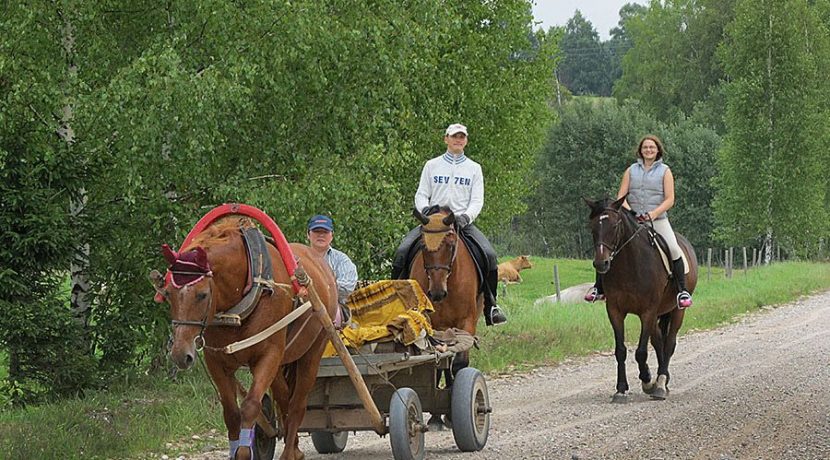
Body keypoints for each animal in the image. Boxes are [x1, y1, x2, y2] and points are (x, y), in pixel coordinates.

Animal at [153, 217, 338, 460]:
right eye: (168, 294)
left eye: (202, 294)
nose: (180, 355)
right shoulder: (217, 361)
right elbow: (232, 413)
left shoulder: (268, 355)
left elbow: (250, 406)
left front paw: (243, 451)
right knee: (284, 398)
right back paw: (295, 446)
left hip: (313, 352)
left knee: (297, 403)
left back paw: (290, 451)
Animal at [408, 208, 480, 378]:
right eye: (423, 245)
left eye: (451, 245)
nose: (437, 293)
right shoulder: (434, 325)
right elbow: (439, 364)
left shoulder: (467, 322)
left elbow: (459, 363)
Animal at [588, 196, 700, 400]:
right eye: (592, 227)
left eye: (614, 226)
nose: (601, 263)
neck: (630, 265)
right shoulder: (614, 311)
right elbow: (621, 350)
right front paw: (621, 389)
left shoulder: (647, 311)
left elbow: (640, 352)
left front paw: (648, 381)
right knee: (658, 342)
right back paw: (662, 380)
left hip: (677, 311)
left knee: (669, 344)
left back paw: (661, 383)